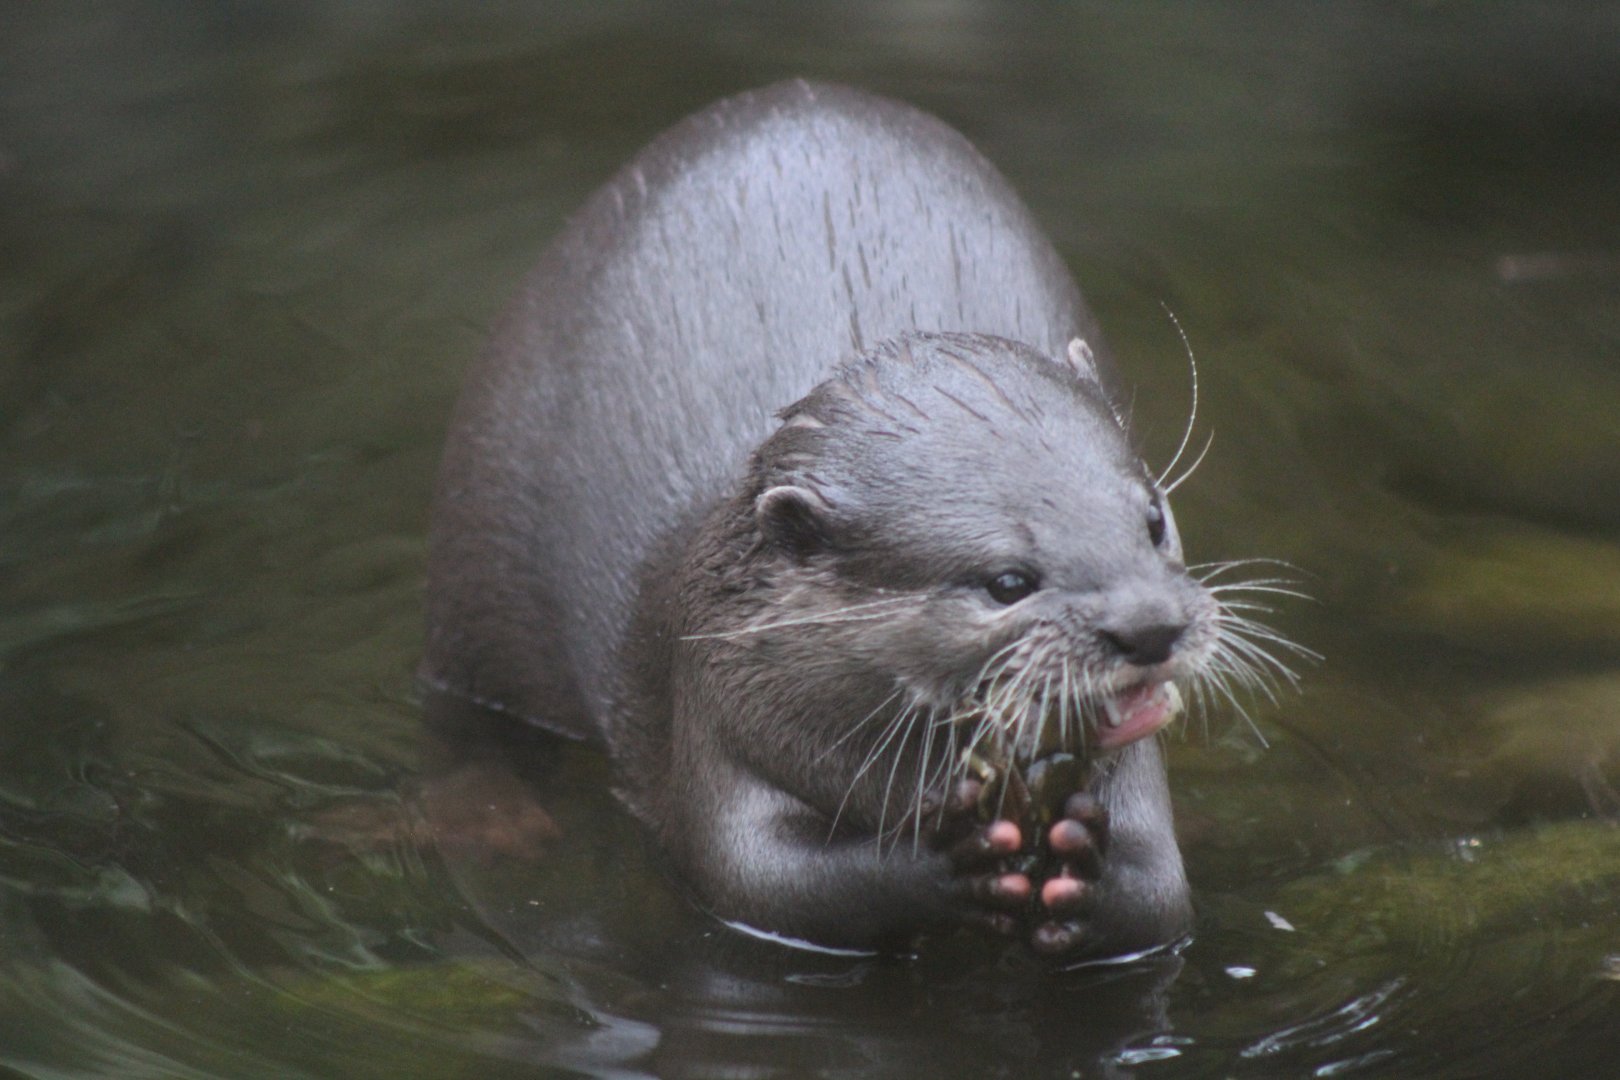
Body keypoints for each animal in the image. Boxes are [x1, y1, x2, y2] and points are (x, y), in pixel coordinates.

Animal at [425, 80, 1225, 959]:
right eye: (1008, 582)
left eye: (1151, 520)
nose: (1150, 626)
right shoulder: (711, 698)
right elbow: (763, 881)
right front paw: (954, 856)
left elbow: (1161, 894)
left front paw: (1087, 859)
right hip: (475, 550)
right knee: (461, 720)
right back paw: (488, 817)